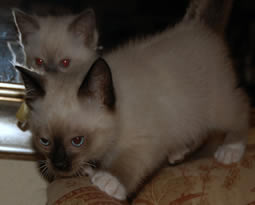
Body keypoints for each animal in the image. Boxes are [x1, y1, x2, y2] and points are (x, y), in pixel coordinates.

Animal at [14, 0, 249, 201]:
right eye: (44, 141)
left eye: (77, 141)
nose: (59, 165)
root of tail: (198, 26)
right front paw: (89, 169)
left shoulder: (145, 142)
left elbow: (128, 164)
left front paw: (108, 181)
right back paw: (178, 152)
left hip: (218, 106)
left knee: (241, 110)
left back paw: (230, 149)